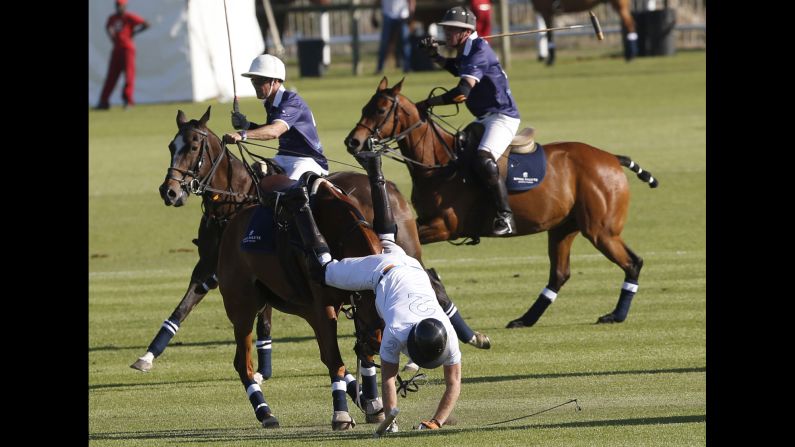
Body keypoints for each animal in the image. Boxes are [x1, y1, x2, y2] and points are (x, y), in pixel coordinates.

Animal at [344, 78, 660, 328]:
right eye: (363, 108)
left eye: (380, 110)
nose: (352, 142)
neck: (439, 163)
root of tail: (612, 158)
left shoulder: (443, 226)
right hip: (563, 228)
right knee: (560, 274)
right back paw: (525, 319)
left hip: (600, 230)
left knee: (632, 262)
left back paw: (615, 315)